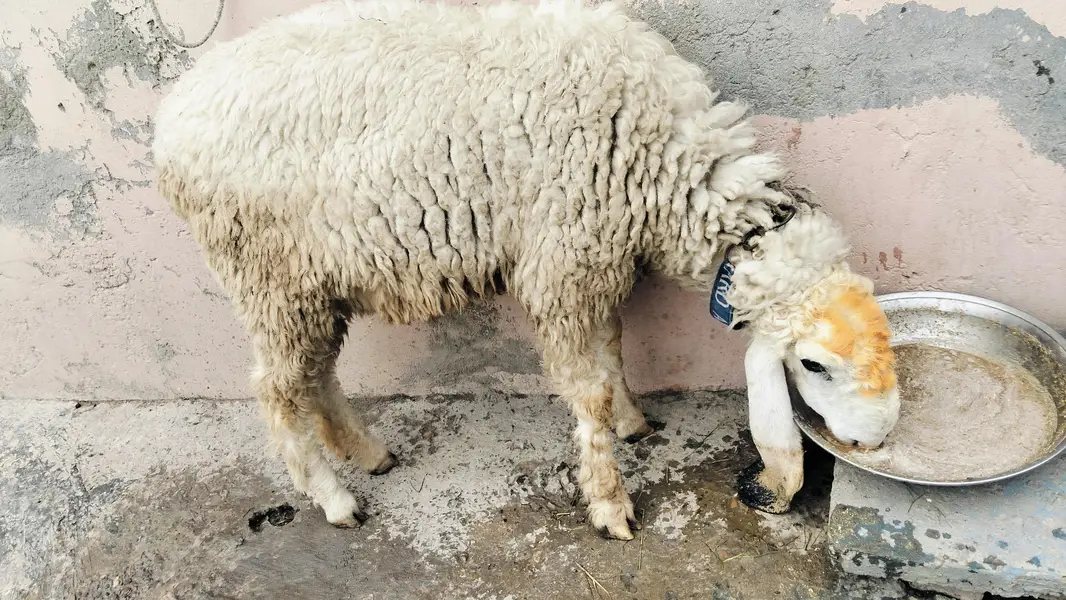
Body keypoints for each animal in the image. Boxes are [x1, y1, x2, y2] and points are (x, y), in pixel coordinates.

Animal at [153, 0, 901, 540]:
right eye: (813, 365)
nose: (875, 438)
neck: (669, 161)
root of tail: (172, 121)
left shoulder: (597, 258)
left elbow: (611, 349)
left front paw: (632, 421)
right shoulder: (564, 262)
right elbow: (586, 390)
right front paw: (609, 502)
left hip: (312, 282)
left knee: (317, 376)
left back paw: (366, 453)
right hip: (267, 277)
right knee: (278, 391)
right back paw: (334, 498)